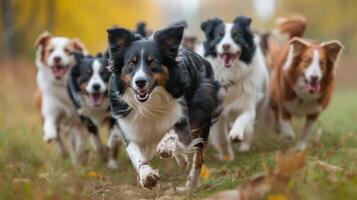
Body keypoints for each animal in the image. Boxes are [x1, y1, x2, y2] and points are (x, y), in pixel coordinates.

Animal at [199, 16, 268, 161]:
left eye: (237, 35)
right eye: (219, 35)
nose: (226, 45)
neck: (229, 74)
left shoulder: (247, 104)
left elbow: (243, 118)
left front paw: (236, 134)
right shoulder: (216, 111)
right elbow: (221, 136)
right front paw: (227, 156)